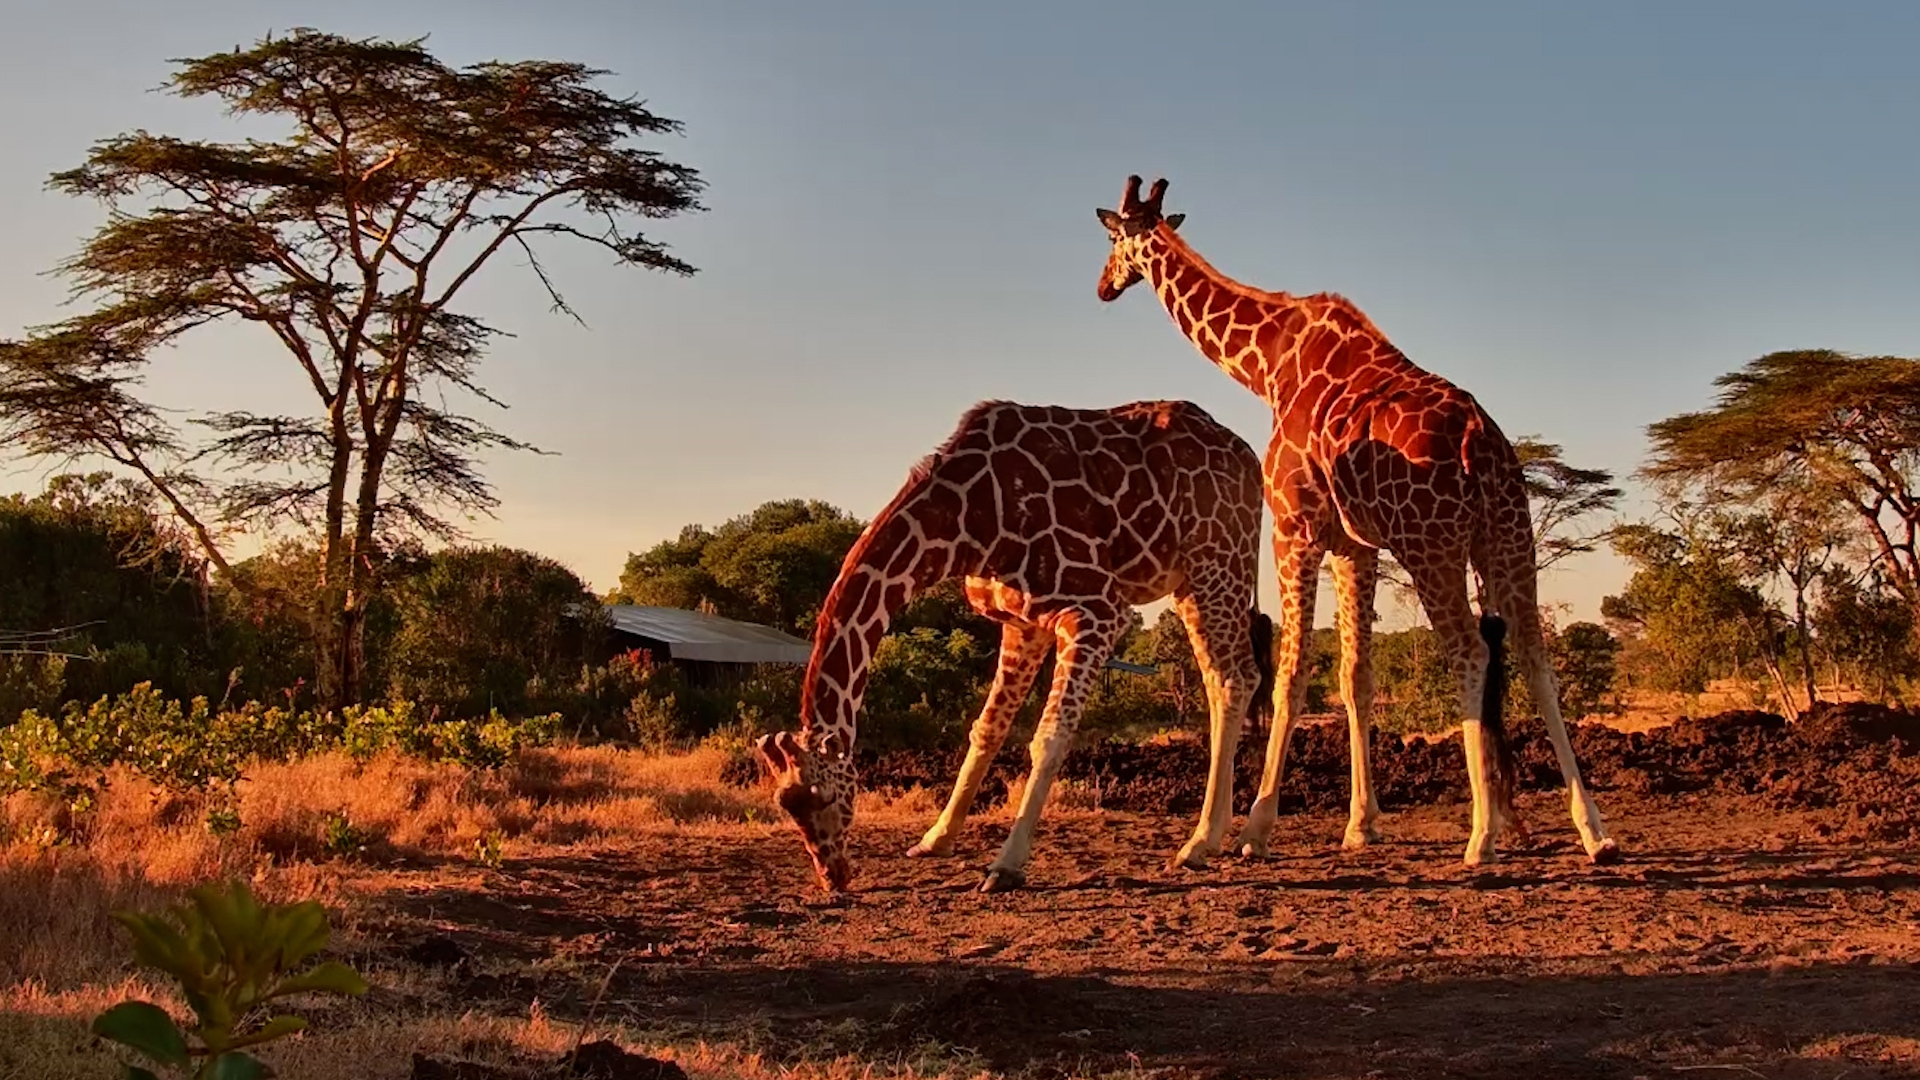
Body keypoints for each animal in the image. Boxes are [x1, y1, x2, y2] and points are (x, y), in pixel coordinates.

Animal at [755, 398, 1273, 893]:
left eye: (826, 796)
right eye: (786, 806)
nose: (833, 876)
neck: (964, 523)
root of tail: (1249, 459)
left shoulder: (1097, 611)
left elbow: (1048, 737)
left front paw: (1005, 866)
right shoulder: (1022, 621)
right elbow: (986, 728)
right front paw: (934, 838)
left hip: (1217, 561)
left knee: (1238, 677)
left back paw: (1202, 844)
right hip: (1189, 579)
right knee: (1222, 679)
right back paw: (1215, 837)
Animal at [1092, 176, 1619, 868]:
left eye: (1111, 239)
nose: (1103, 286)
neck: (1266, 365)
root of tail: (1481, 443)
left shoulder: (1295, 526)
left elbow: (1290, 674)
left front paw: (1257, 828)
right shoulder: (1355, 545)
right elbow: (1355, 676)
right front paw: (1361, 823)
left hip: (1432, 545)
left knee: (1471, 652)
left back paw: (1482, 835)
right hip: (1508, 535)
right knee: (1535, 658)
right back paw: (1592, 830)